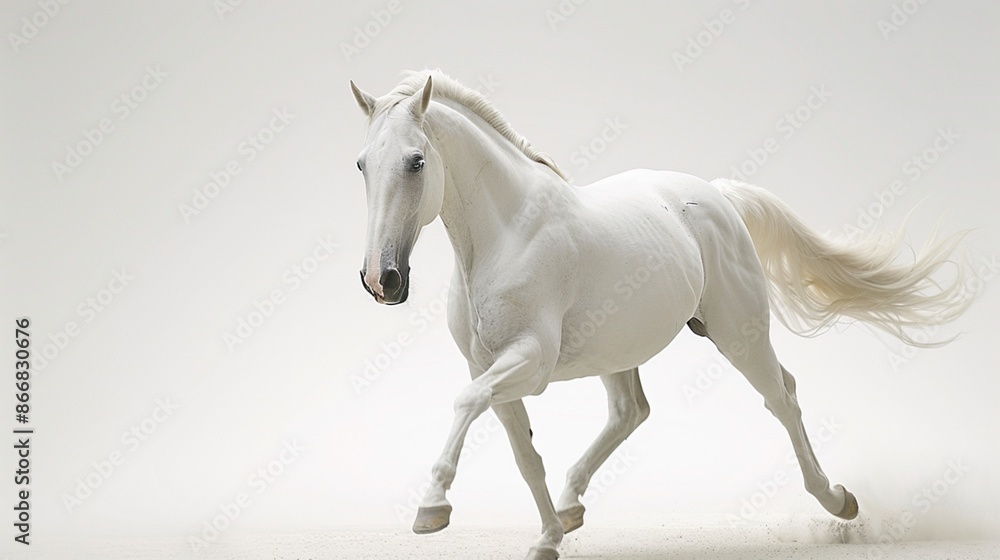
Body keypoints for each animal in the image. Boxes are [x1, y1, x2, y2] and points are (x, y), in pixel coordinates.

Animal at [349, 70, 970, 559]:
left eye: (416, 161)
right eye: (361, 164)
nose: (382, 280)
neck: (506, 238)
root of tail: (717, 196)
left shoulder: (529, 362)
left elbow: (466, 405)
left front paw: (432, 508)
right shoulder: (491, 368)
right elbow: (524, 454)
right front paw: (547, 539)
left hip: (739, 335)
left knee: (782, 397)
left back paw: (838, 501)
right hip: (620, 349)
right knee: (631, 412)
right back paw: (571, 509)